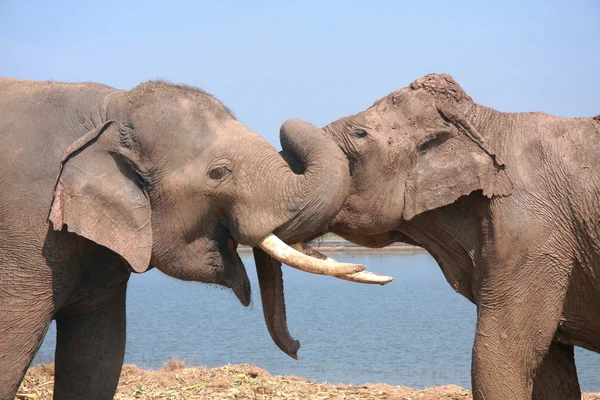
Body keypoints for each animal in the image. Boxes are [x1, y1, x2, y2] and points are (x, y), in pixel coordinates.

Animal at [274, 73, 600, 398]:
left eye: (360, 133)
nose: (296, 347)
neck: (482, 123)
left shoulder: (531, 234)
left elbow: (497, 357)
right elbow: (549, 372)